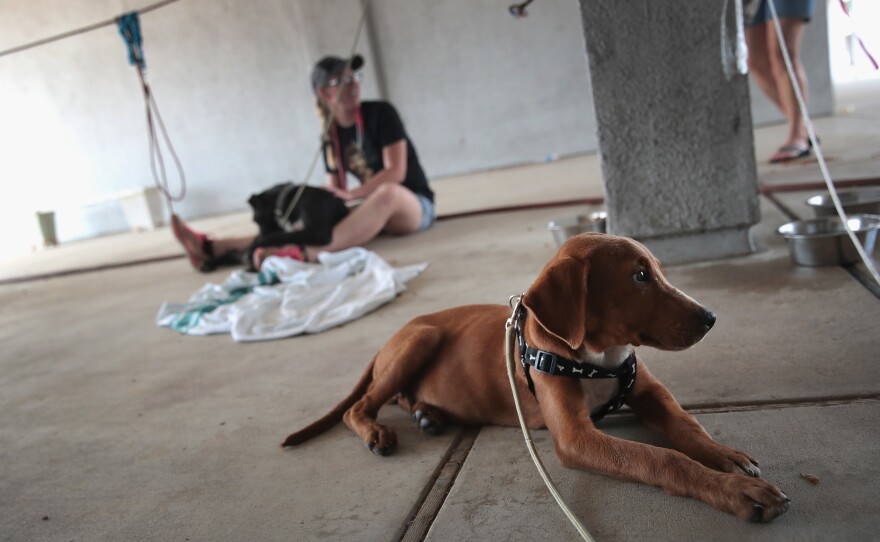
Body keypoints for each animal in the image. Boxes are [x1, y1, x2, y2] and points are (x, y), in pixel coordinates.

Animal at [282, 234, 792, 524]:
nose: (710, 318)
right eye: (639, 276)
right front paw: (736, 492)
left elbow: (687, 427)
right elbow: (661, 458)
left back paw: (429, 414)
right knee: (358, 406)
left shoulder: (649, 392)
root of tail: (395, 332)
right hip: (419, 341)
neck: (597, 355)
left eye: (658, 271)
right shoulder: (576, 436)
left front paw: (726, 457)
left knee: (404, 398)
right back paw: (377, 432)